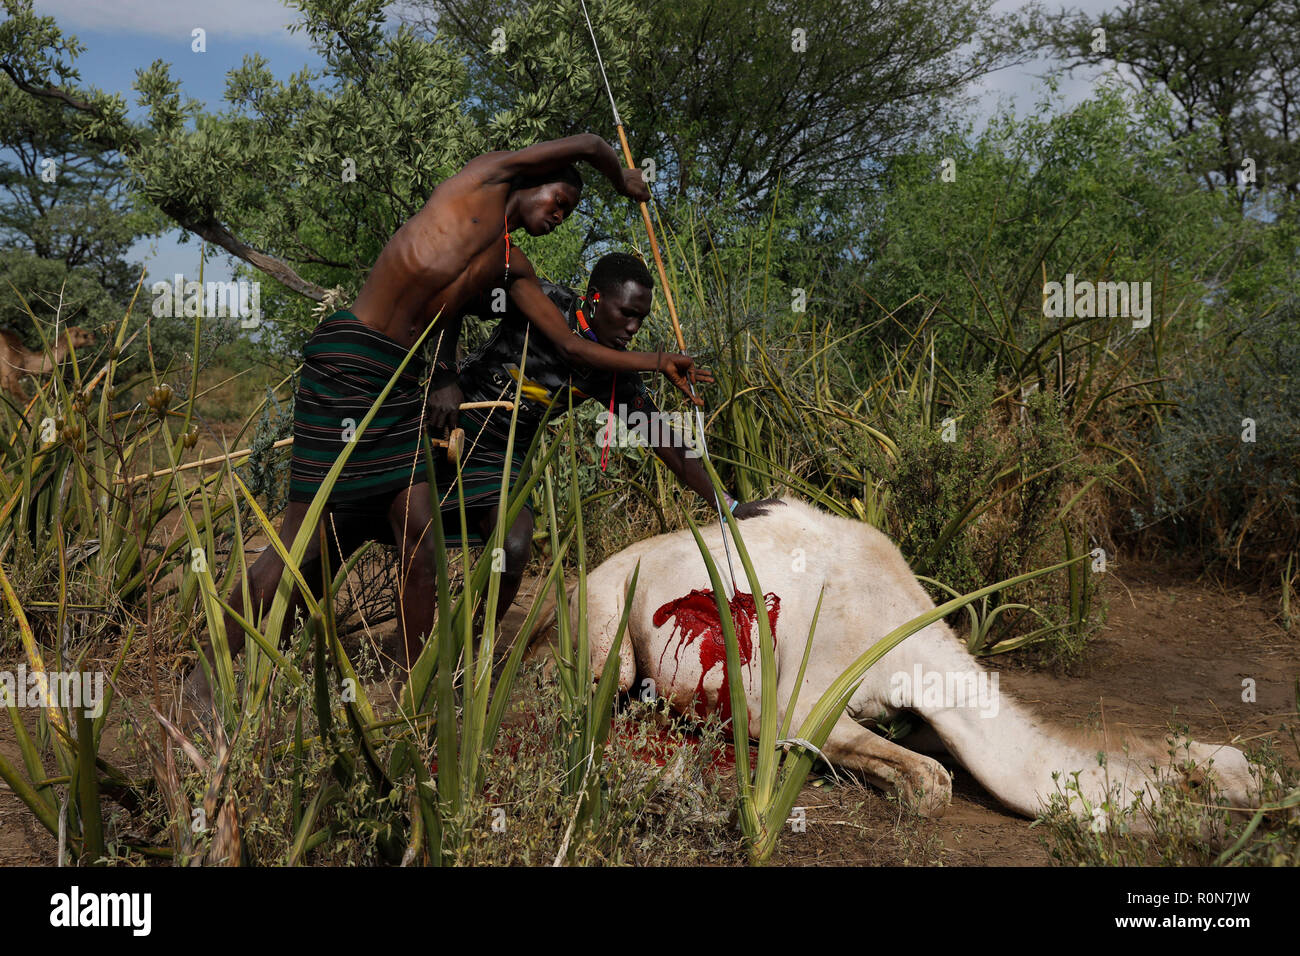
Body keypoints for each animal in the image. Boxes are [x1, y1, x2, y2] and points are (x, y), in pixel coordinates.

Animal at [574, 502, 1263, 822]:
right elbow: (933, 786)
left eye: (1240, 765)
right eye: (1208, 780)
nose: (1268, 786)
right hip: (603, 615)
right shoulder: (796, 702)